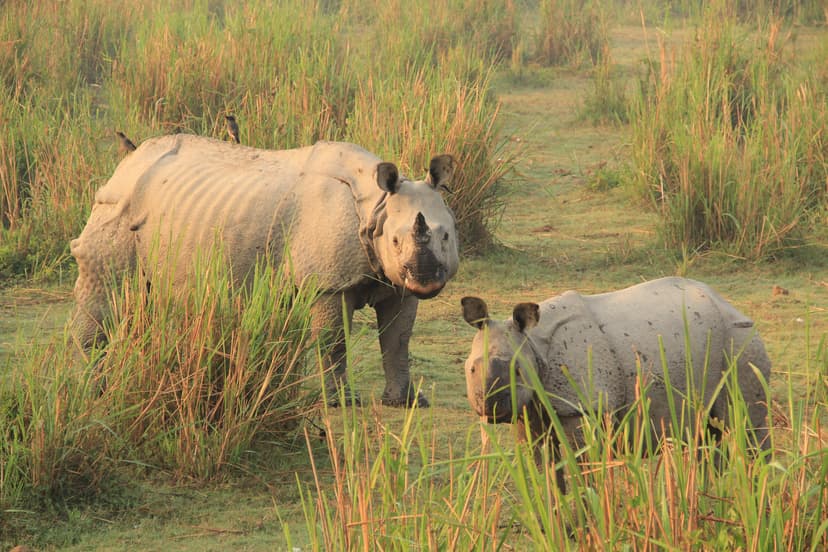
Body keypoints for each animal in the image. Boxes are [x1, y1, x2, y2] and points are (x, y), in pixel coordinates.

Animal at [70, 134, 460, 407]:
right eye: (394, 240)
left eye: (446, 236)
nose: (426, 281)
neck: (376, 206)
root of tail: (126, 163)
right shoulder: (328, 283)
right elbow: (332, 340)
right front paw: (340, 402)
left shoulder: (397, 283)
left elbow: (398, 340)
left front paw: (407, 402)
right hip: (116, 206)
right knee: (106, 287)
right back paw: (94, 390)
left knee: (147, 298)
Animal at [460, 277, 771, 489]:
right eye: (471, 369)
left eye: (517, 371)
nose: (489, 406)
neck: (534, 343)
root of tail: (730, 305)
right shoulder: (530, 410)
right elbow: (545, 472)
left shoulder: (582, 406)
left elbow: (583, 470)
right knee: (707, 434)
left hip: (740, 342)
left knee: (748, 429)